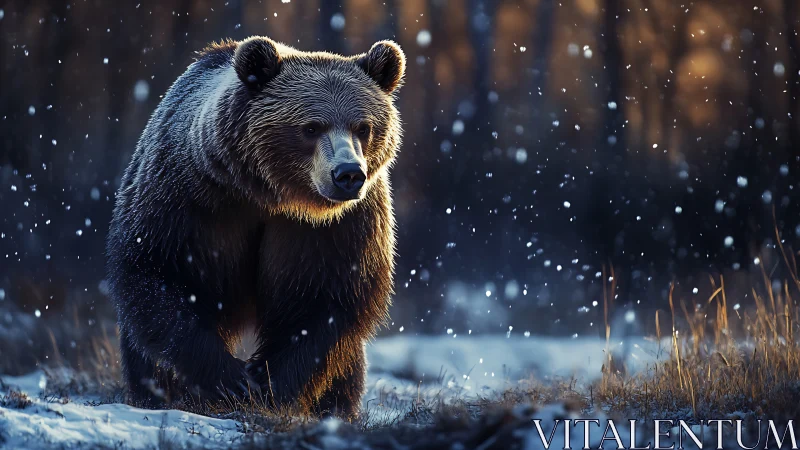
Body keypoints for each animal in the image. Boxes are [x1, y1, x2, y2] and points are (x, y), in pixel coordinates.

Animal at [105, 35, 405, 420]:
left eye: (363, 127)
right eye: (311, 127)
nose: (348, 174)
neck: (272, 196)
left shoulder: (337, 229)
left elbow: (324, 303)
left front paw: (270, 386)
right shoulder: (190, 199)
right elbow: (157, 274)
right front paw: (230, 380)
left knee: (346, 363)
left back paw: (336, 408)